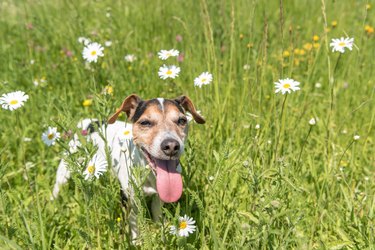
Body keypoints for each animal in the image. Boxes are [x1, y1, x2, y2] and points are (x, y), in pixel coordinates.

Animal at [50, 94, 206, 240]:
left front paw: (161, 235)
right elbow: (134, 224)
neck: (147, 172)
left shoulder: (158, 197)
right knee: (57, 186)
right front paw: (137, 242)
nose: (171, 146)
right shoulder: (130, 199)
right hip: (66, 167)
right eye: (145, 122)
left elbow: (157, 213)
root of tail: (90, 123)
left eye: (182, 120)